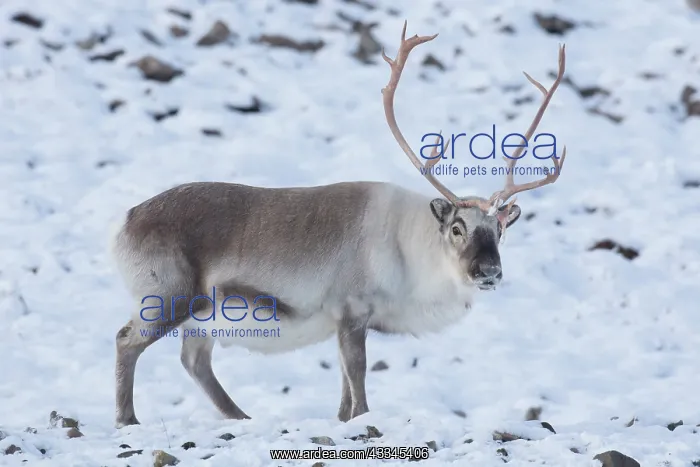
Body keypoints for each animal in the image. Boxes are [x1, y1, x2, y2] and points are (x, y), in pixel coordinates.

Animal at [111, 21, 566, 428]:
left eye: (500, 229)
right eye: (458, 228)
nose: (489, 271)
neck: (412, 251)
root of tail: (127, 221)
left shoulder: (344, 321)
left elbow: (345, 387)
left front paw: (342, 420)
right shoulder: (350, 309)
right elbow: (358, 377)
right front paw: (361, 421)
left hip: (202, 315)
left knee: (195, 362)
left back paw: (241, 418)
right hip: (167, 296)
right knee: (127, 341)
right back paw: (127, 419)